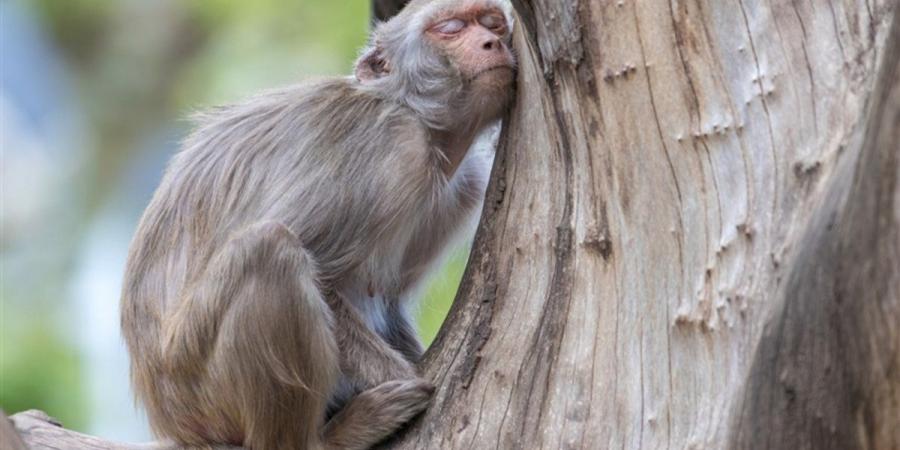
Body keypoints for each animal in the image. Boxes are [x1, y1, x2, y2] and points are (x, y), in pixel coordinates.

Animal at [121, 0, 512, 450]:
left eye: (493, 24)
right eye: (450, 28)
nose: (492, 42)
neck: (419, 121)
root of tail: (170, 421)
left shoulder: (464, 185)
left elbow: (387, 297)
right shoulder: (390, 148)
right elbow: (322, 276)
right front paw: (407, 377)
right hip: (198, 384)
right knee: (270, 249)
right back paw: (326, 438)